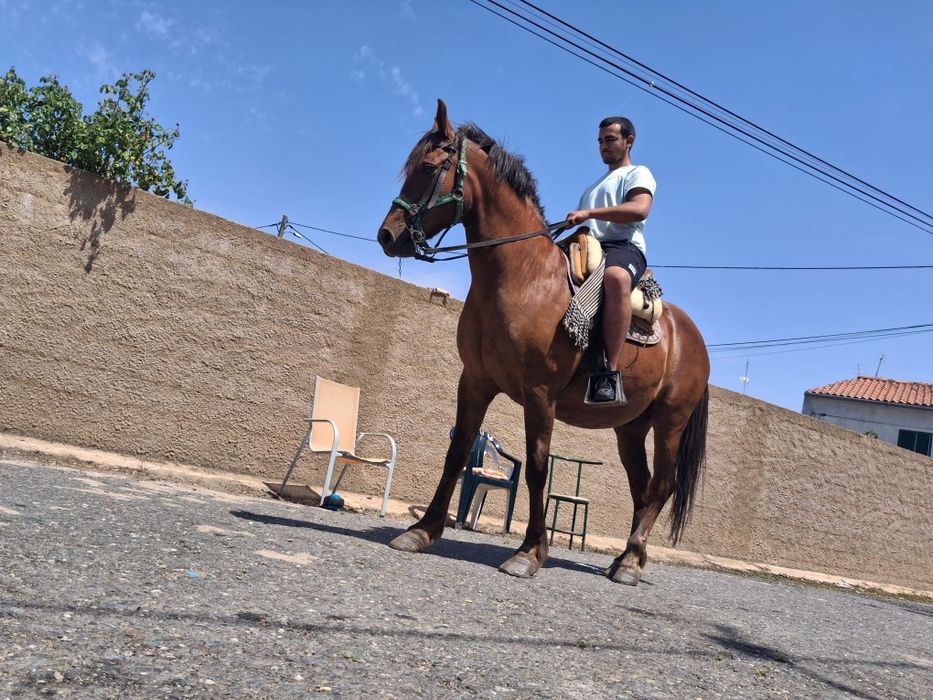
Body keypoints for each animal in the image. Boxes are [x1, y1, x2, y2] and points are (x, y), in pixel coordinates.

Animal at [377, 100, 710, 585]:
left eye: (428, 167)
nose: (388, 235)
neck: (522, 276)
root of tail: (694, 338)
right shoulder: (474, 381)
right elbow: (457, 452)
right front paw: (422, 530)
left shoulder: (539, 395)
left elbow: (537, 468)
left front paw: (530, 552)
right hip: (631, 427)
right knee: (642, 486)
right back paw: (624, 559)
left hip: (670, 422)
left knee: (661, 485)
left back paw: (630, 562)